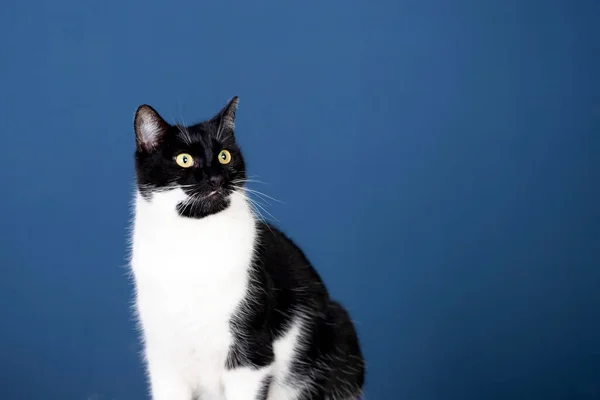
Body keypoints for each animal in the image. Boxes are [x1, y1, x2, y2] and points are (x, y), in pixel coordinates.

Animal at [130, 97, 366, 400]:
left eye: (224, 156)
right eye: (184, 159)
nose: (217, 179)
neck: (195, 241)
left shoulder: (250, 354)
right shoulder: (163, 359)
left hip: (339, 334)